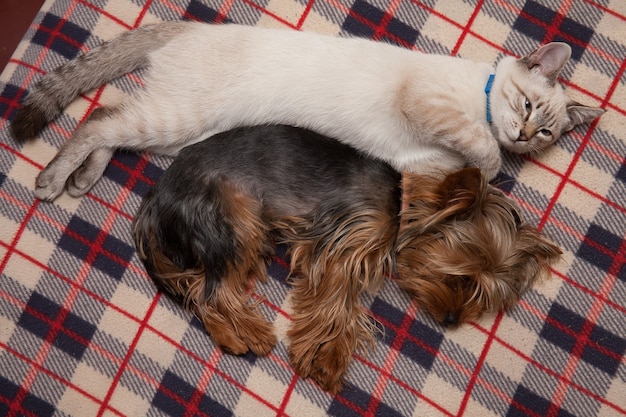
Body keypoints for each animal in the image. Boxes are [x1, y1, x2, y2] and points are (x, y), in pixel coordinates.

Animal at [12, 20, 604, 200]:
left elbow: (458, 168)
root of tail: (191, 25)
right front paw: (492, 165)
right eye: (526, 105)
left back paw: (80, 182)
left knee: (107, 122)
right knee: (99, 120)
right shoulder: (429, 106)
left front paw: (480, 175)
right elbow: (482, 151)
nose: (524, 136)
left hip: (175, 131)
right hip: (177, 119)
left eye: (546, 132)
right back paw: (51, 181)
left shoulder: (420, 163)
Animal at [133, 124, 560, 394]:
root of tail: (154, 200)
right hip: (231, 215)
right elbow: (337, 297)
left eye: (486, 298)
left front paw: (327, 353)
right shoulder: (345, 239)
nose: (452, 320)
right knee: (209, 292)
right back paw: (245, 333)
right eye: (465, 276)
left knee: (199, 286)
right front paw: (329, 357)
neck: (400, 203)